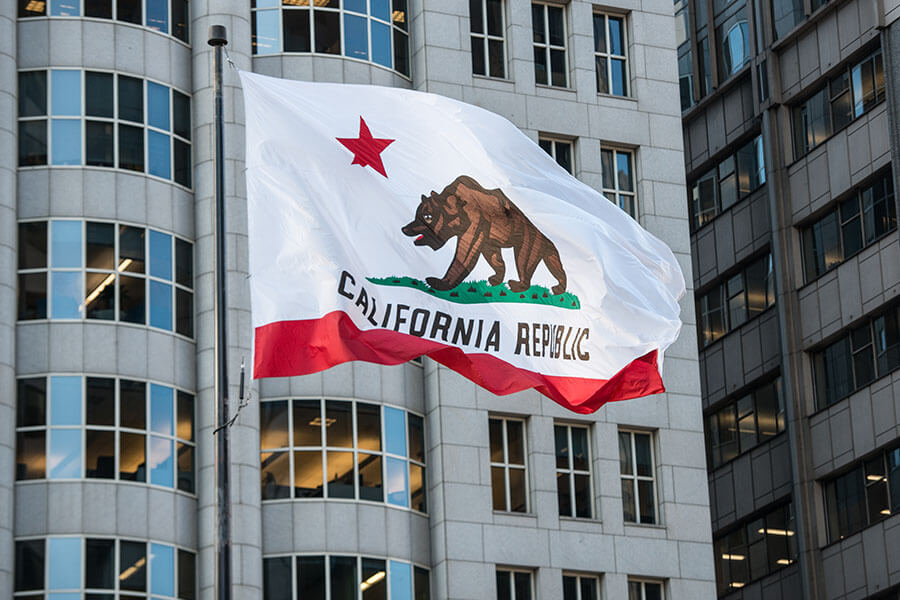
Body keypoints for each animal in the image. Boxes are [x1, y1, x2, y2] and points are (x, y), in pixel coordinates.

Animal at [402, 173, 568, 296]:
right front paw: (494, 279)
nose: (404, 228)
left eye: (427, 216)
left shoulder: (473, 227)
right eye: (416, 214)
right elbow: (495, 259)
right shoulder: (487, 241)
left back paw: (518, 285)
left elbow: (462, 258)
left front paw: (437, 282)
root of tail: (545, 237)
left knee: (524, 263)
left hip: (529, 242)